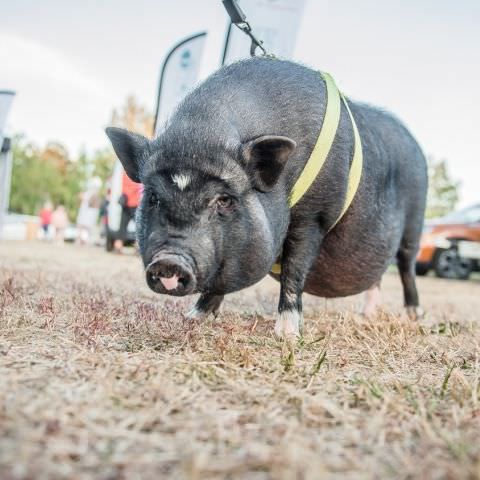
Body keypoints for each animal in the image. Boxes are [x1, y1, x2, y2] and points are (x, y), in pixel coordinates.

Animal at [106, 58, 428, 338]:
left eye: (224, 200)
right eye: (153, 197)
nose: (169, 260)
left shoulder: (314, 216)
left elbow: (294, 271)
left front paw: (287, 336)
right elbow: (220, 278)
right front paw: (194, 318)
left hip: (414, 225)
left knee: (406, 267)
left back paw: (415, 316)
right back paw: (366, 315)